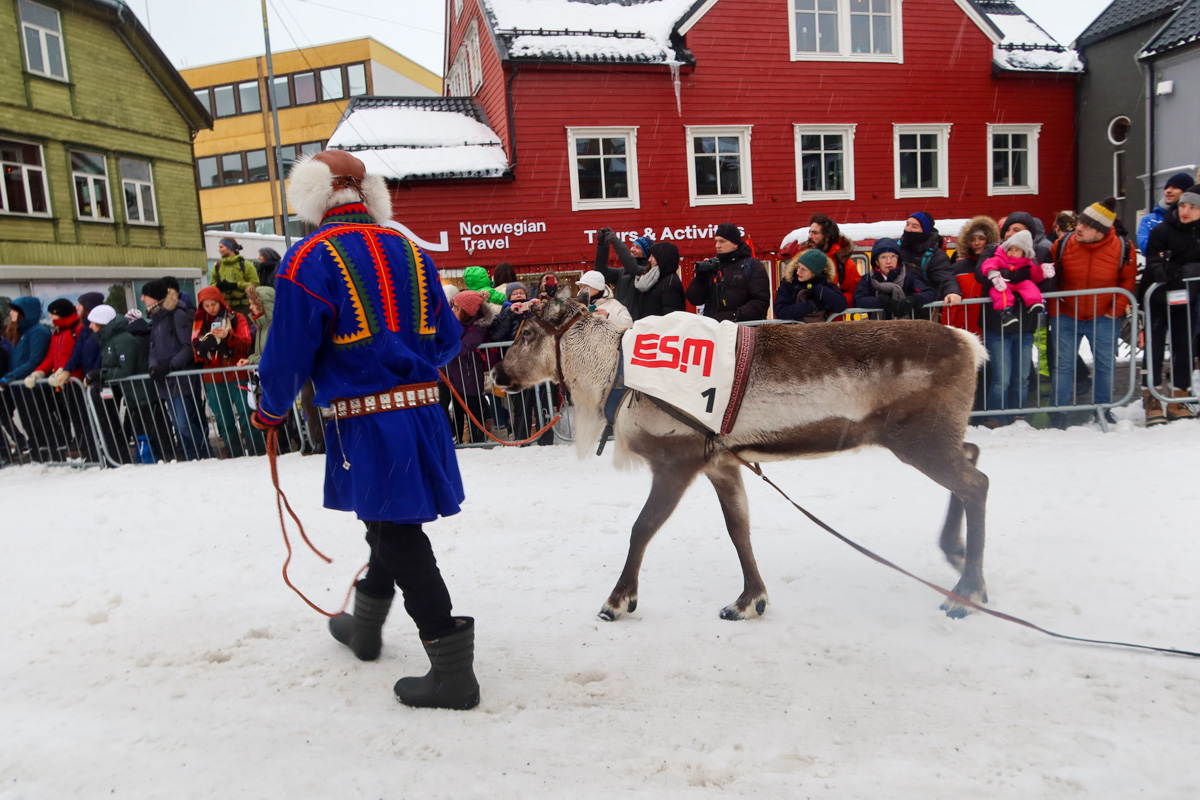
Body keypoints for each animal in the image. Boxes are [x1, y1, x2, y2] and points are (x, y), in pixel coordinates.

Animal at [491, 297, 990, 622]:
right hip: (933, 438)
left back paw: (965, 591)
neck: (615, 374)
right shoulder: (722, 463)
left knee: (976, 484)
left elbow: (641, 528)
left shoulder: (677, 461)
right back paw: (958, 557)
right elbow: (739, 530)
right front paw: (750, 600)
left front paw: (618, 601)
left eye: (527, 333)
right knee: (973, 456)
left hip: (919, 439)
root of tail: (971, 342)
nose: (495, 373)